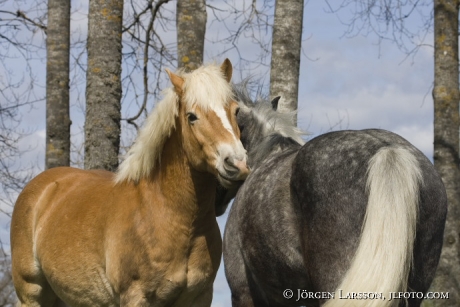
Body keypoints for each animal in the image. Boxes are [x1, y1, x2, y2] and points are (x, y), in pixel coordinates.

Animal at [9, 59, 248, 306]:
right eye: (192, 116)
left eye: (235, 110)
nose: (236, 163)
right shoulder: (135, 296)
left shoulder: (200, 298)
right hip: (32, 293)